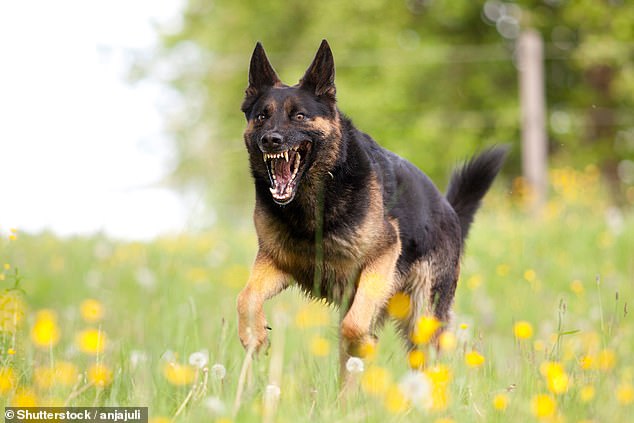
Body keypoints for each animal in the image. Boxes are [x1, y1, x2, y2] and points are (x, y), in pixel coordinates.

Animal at [236, 40, 504, 374]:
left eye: (298, 116)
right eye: (262, 116)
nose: (270, 140)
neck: (315, 203)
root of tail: (450, 210)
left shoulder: (382, 256)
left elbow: (353, 327)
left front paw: (364, 344)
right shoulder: (277, 262)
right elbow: (245, 297)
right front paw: (254, 334)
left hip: (422, 317)